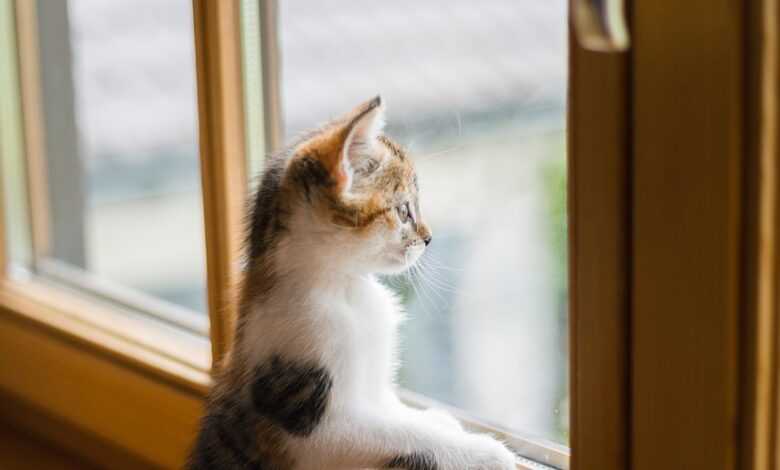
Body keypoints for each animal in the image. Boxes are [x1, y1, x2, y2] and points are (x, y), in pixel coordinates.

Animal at [188, 97, 516, 468]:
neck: (346, 291)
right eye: (404, 210)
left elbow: (397, 414)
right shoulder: (314, 428)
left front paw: (439, 420)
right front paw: (485, 452)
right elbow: (402, 435)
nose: (429, 238)